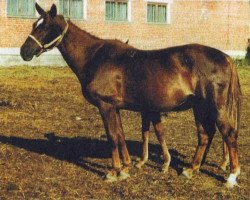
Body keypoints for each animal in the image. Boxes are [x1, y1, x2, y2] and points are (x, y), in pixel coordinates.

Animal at [20, 3, 240, 188]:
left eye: (46, 27)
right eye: (34, 24)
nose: (24, 51)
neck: (95, 57)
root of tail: (226, 58)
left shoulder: (105, 106)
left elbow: (112, 136)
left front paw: (114, 171)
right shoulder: (115, 107)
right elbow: (120, 135)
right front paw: (125, 168)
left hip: (215, 107)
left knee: (228, 133)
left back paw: (231, 176)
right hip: (200, 107)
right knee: (205, 135)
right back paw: (191, 169)